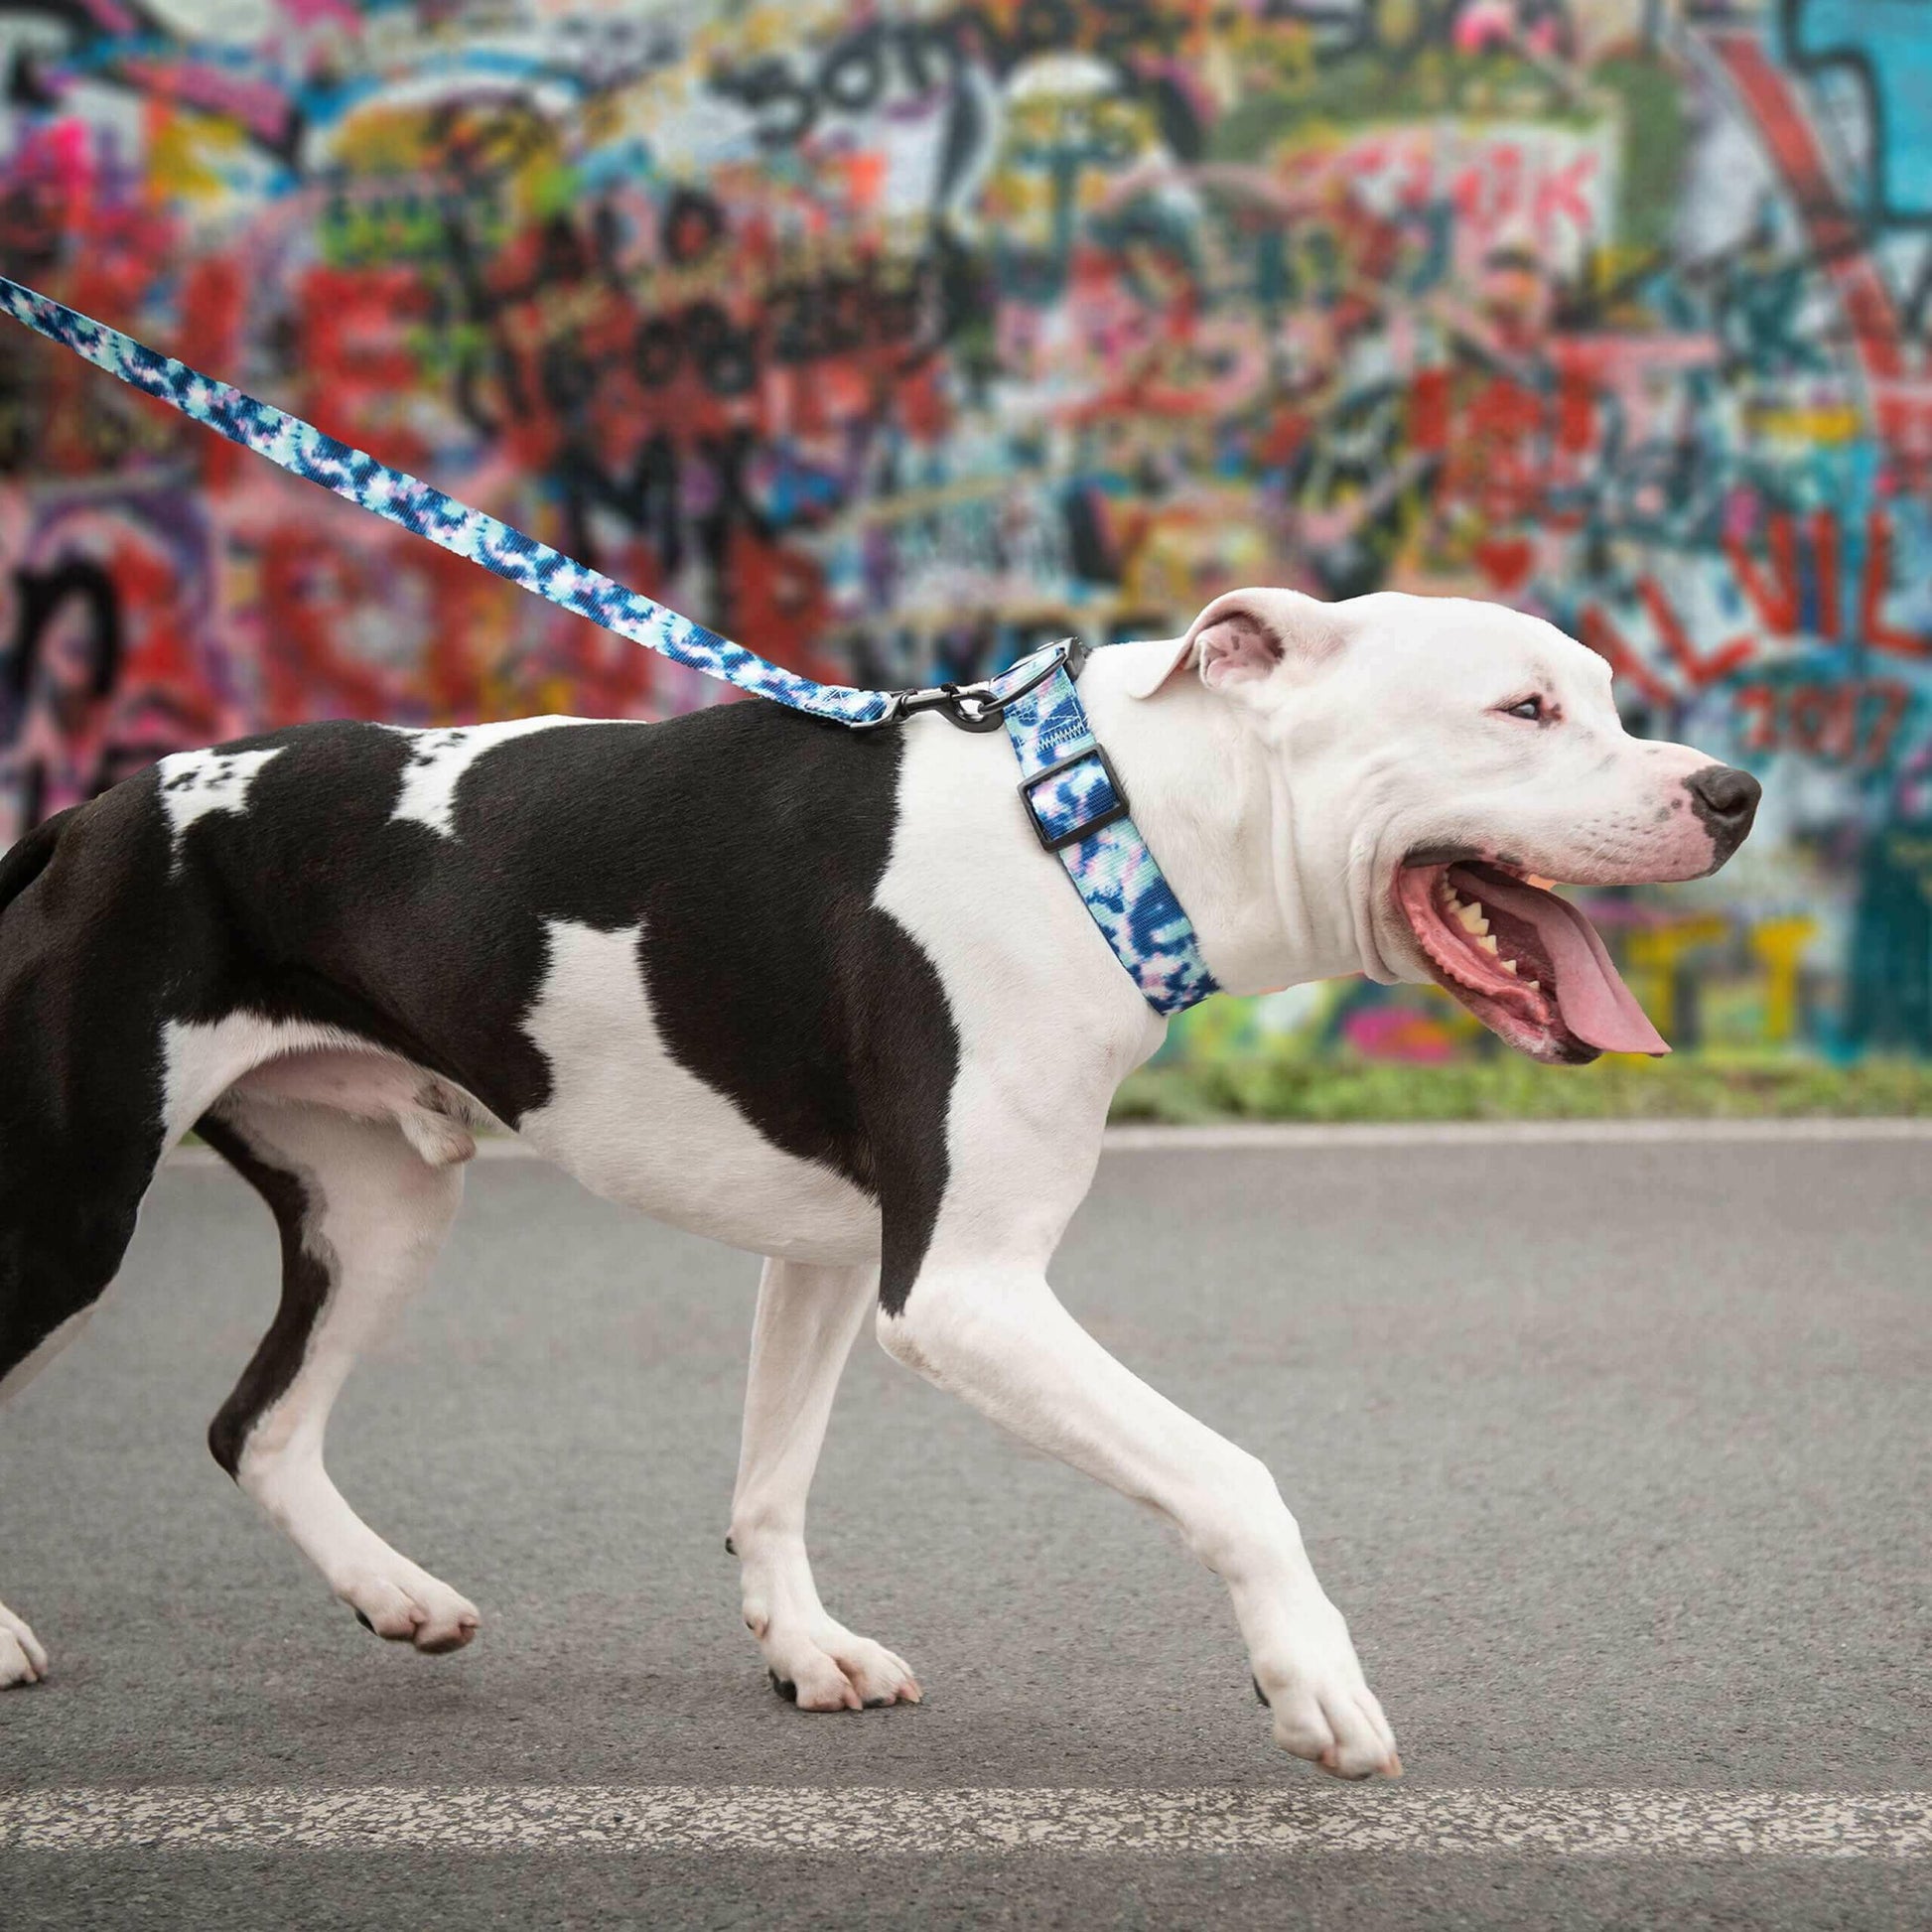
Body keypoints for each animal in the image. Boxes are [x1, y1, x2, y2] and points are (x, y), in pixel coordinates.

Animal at [0, 591, 1753, 1777]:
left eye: (1605, 699)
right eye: (1521, 708)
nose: (1730, 791)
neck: (1094, 826)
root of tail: (94, 805)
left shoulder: (834, 1252)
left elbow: (771, 1478)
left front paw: (804, 1650)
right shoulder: (963, 1289)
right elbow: (1234, 1473)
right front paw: (1309, 1681)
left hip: (379, 1204)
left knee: (261, 1424)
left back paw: (398, 1594)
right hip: (68, 1208)